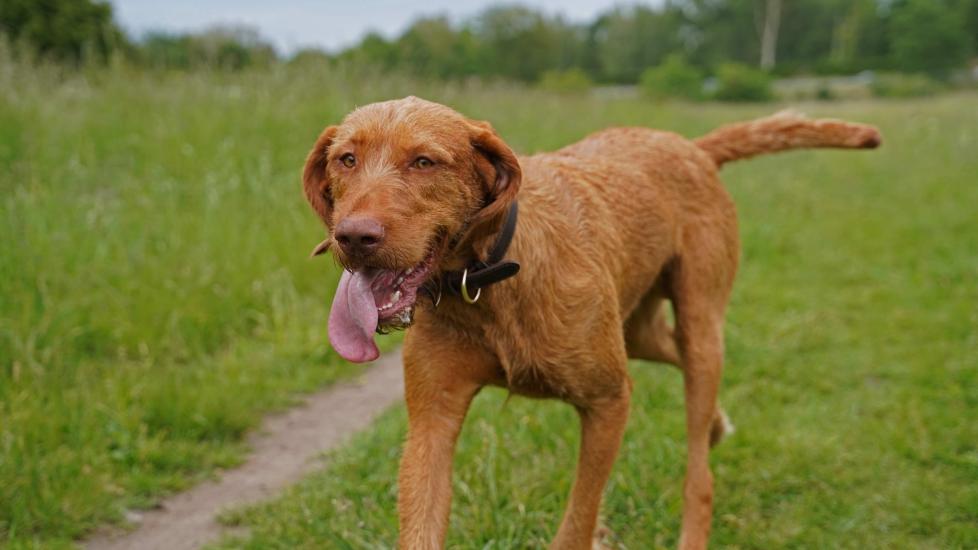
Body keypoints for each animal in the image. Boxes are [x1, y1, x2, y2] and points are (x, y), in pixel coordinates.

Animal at [302, 97, 880, 548]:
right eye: (346, 159)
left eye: (424, 161)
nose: (353, 236)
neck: (489, 275)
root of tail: (690, 146)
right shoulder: (432, 422)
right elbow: (423, 518)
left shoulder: (608, 402)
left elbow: (577, 522)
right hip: (638, 331)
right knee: (671, 355)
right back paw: (719, 423)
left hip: (699, 326)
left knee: (699, 469)